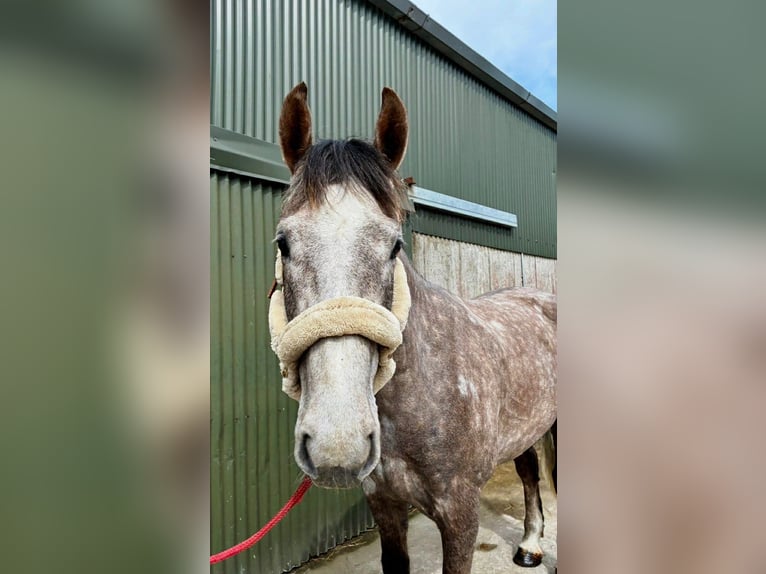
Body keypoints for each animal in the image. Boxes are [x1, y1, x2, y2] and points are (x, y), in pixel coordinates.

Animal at [270, 82, 557, 574]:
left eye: (395, 245)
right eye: (283, 242)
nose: (337, 444)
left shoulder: (460, 516)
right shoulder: (385, 506)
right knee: (528, 472)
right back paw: (530, 544)